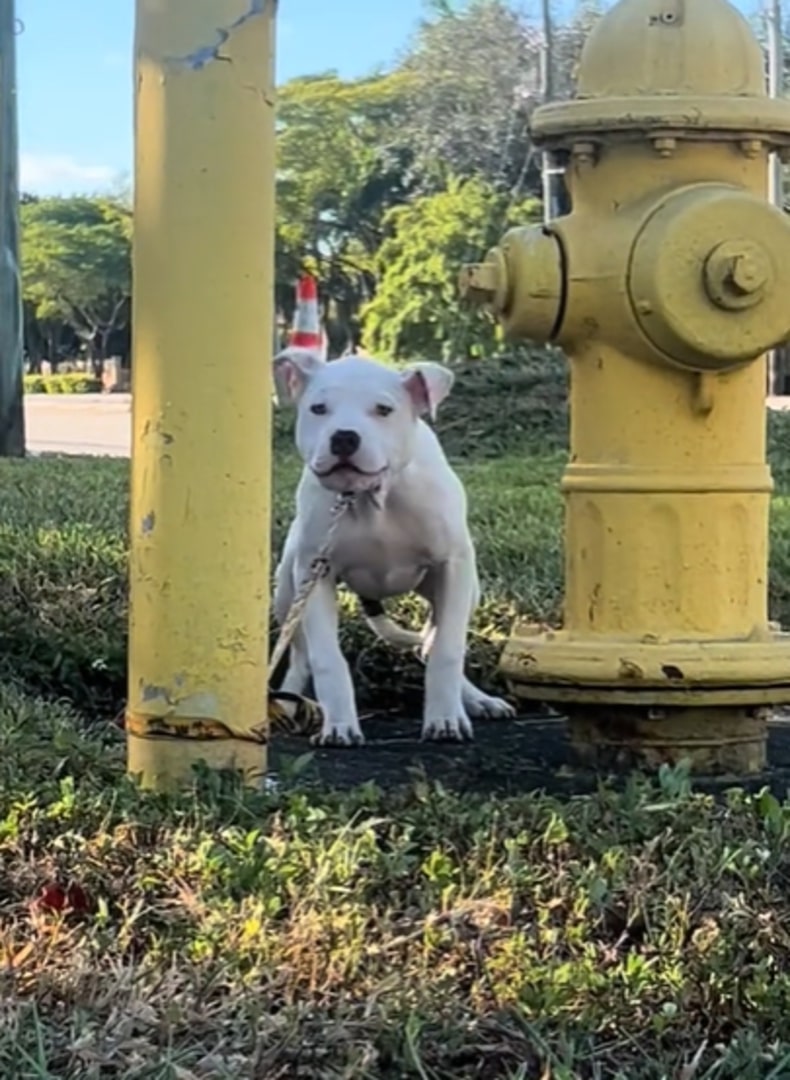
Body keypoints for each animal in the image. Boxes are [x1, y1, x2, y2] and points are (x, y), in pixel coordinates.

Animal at [274, 345, 516, 743]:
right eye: (318, 408)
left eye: (383, 410)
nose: (344, 437)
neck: (372, 498)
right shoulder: (316, 571)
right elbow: (326, 658)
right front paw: (339, 725)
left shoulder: (453, 566)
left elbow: (448, 650)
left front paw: (445, 719)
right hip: (288, 588)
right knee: (300, 654)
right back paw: (287, 700)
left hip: (468, 589)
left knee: (435, 637)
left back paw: (477, 699)